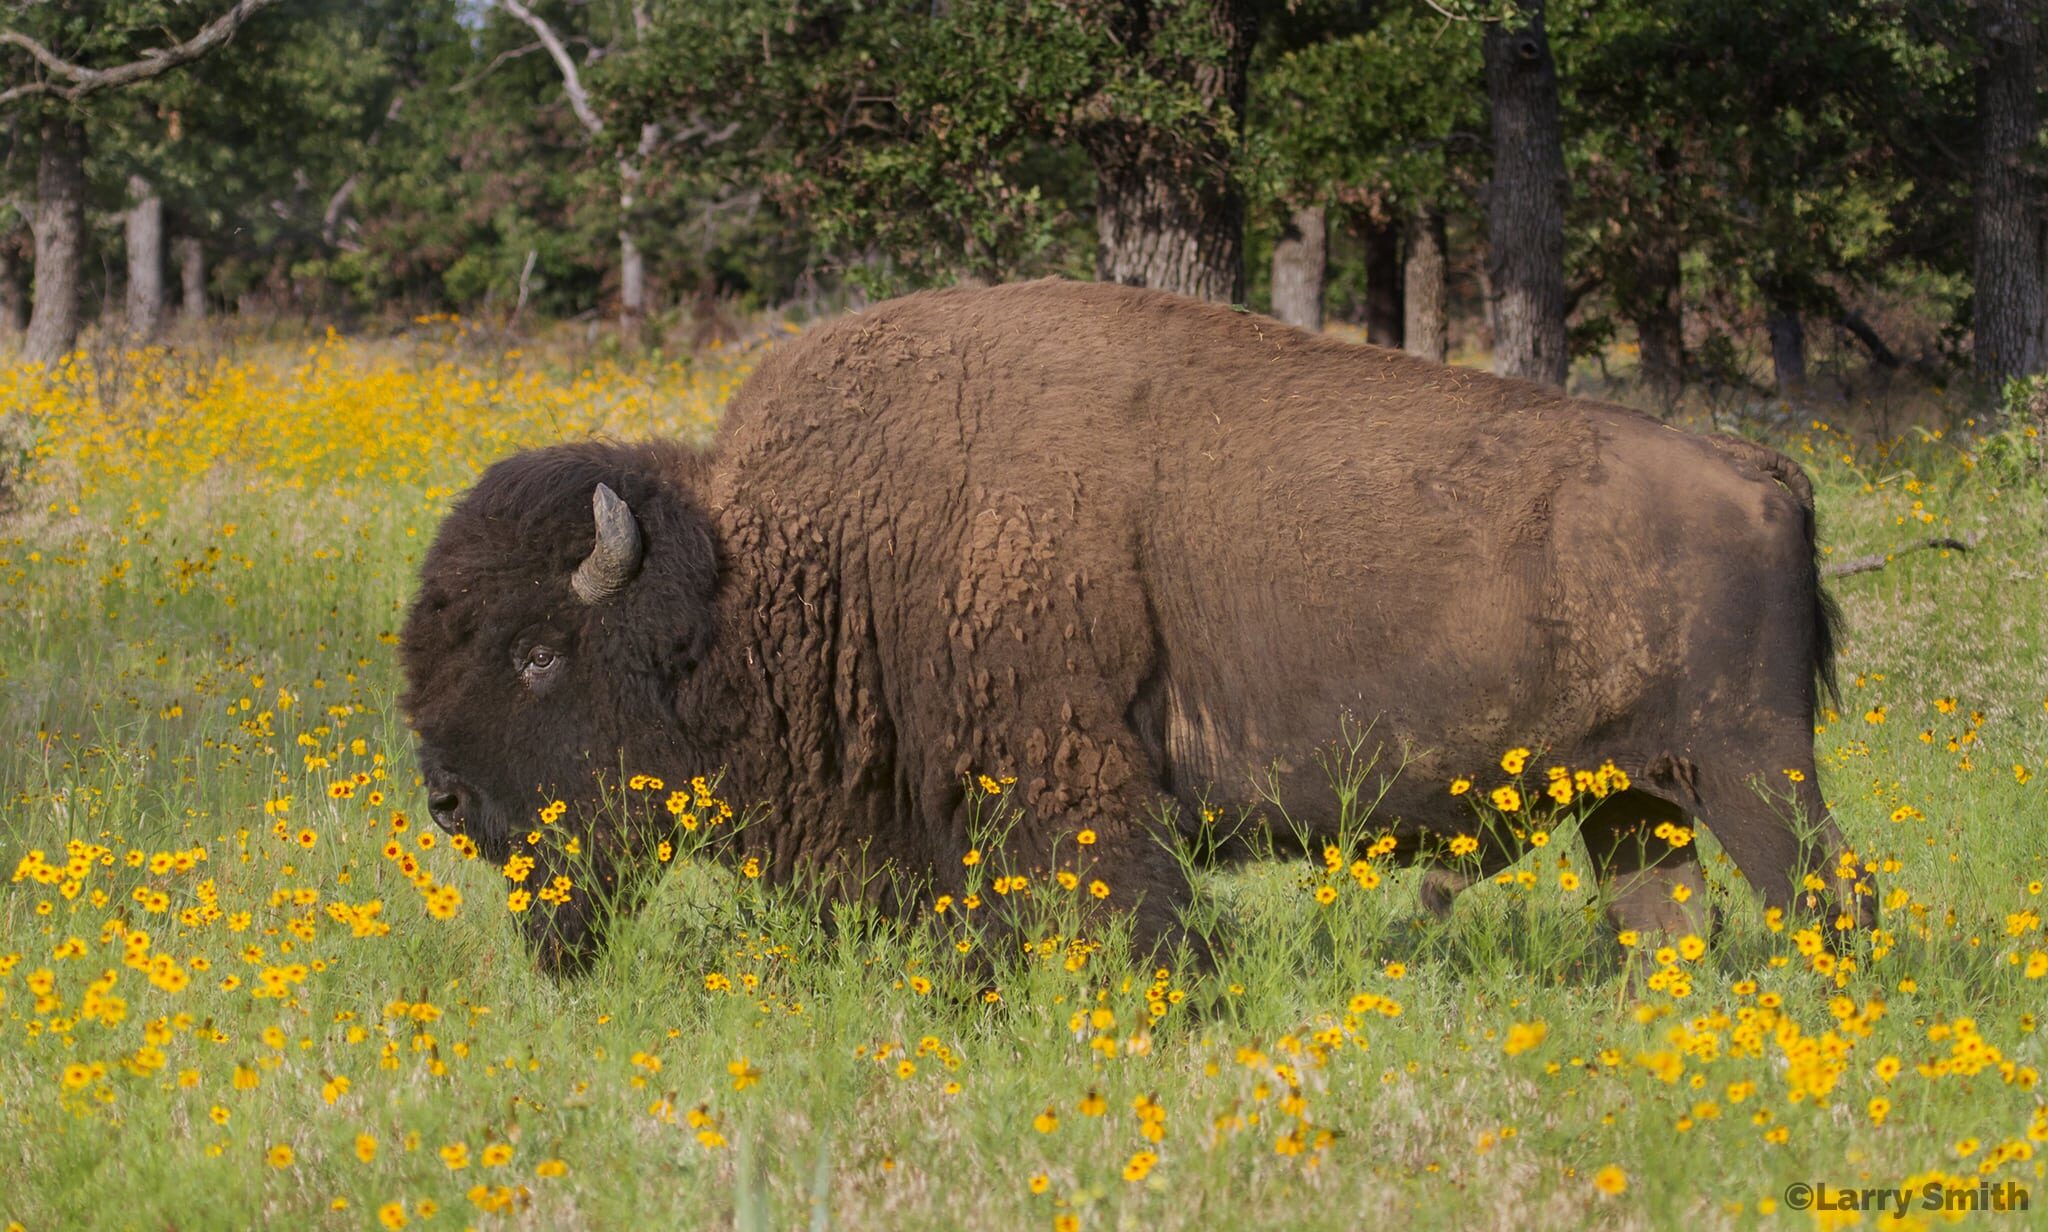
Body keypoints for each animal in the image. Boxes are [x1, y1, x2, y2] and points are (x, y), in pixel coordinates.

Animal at [399, 279, 1872, 973]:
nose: (450, 802)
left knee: (1828, 895)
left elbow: (1135, 914)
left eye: (539, 653)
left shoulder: (1074, 777)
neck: (777, 569)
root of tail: (1759, 471)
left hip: (1751, 768)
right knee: (1661, 919)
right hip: (1632, 797)